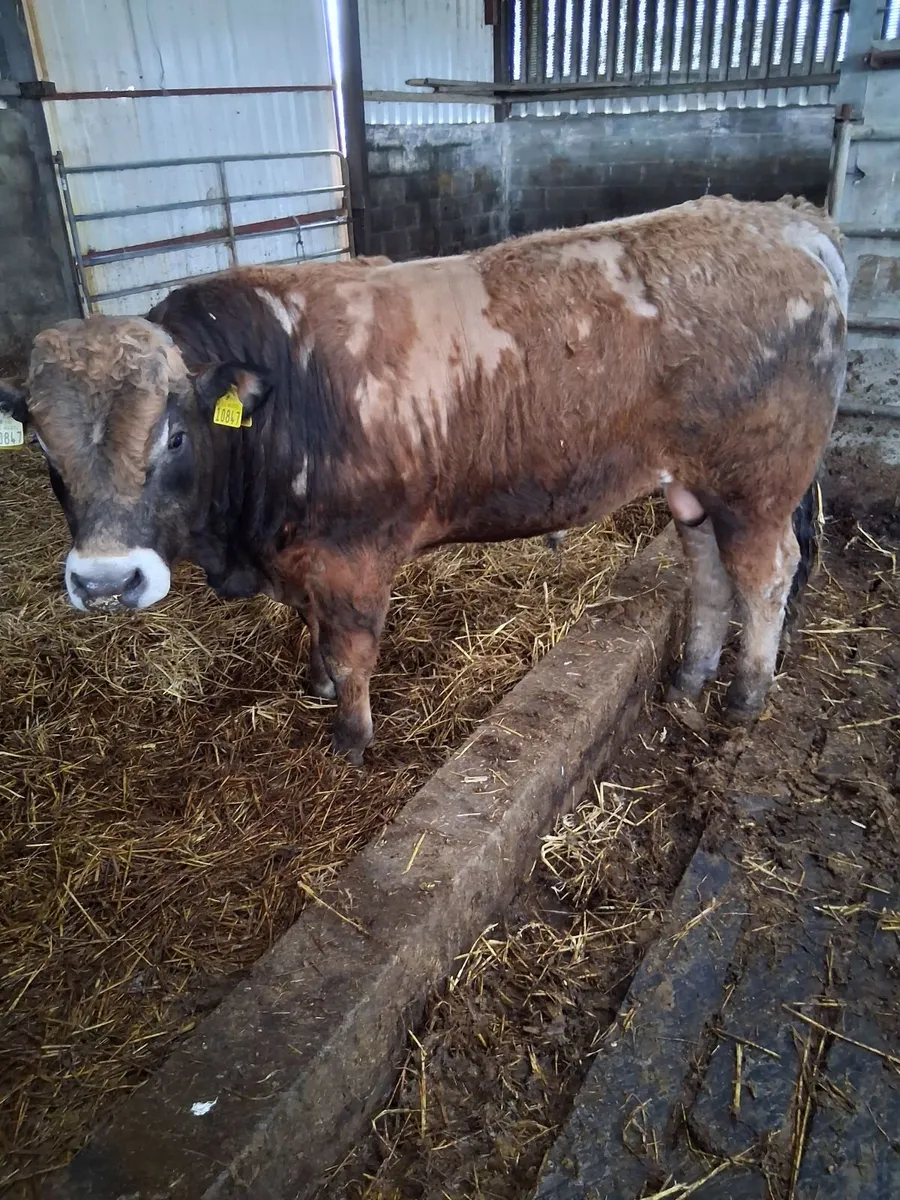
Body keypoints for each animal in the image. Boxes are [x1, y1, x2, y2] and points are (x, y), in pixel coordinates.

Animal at [0, 195, 846, 765]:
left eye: (173, 434)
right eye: (42, 448)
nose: (105, 582)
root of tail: (784, 221)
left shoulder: (352, 554)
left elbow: (352, 647)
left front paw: (349, 736)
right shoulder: (303, 553)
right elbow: (312, 628)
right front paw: (315, 683)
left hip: (758, 484)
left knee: (769, 574)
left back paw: (746, 695)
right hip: (693, 485)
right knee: (709, 574)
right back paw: (689, 678)